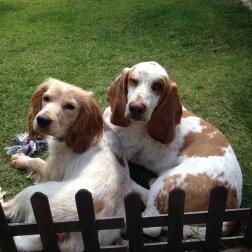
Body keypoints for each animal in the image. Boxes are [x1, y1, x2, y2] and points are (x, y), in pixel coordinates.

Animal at [0, 78, 132, 251]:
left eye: (70, 106)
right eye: (46, 98)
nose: (42, 120)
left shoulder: (52, 170)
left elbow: (37, 161)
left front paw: (20, 159)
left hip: (31, 192)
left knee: (6, 209)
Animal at [103, 62, 243, 237]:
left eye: (157, 86)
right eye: (133, 81)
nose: (136, 108)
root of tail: (232, 201)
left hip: (167, 182)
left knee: (152, 226)